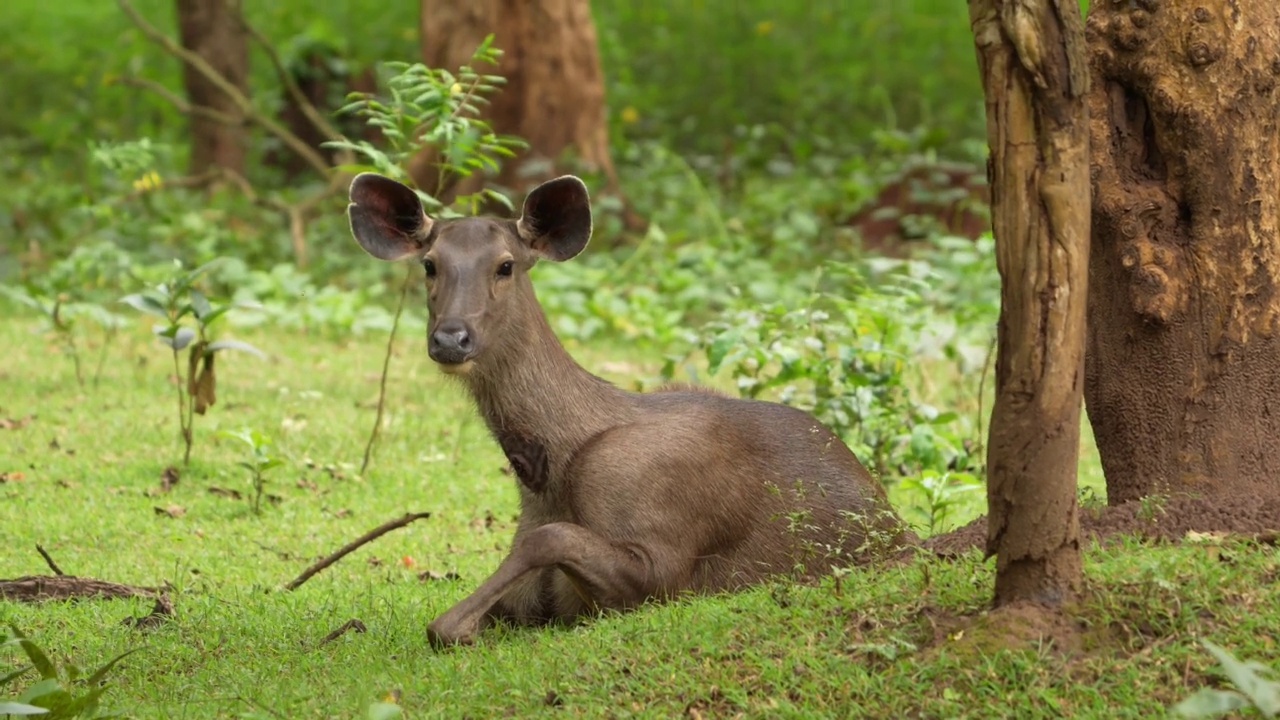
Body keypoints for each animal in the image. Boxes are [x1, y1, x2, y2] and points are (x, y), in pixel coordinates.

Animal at [345, 172, 916, 645]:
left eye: (505, 266)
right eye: (430, 265)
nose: (450, 339)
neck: (557, 470)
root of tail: (894, 518)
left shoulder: (663, 559)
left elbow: (544, 545)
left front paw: (456, 625)